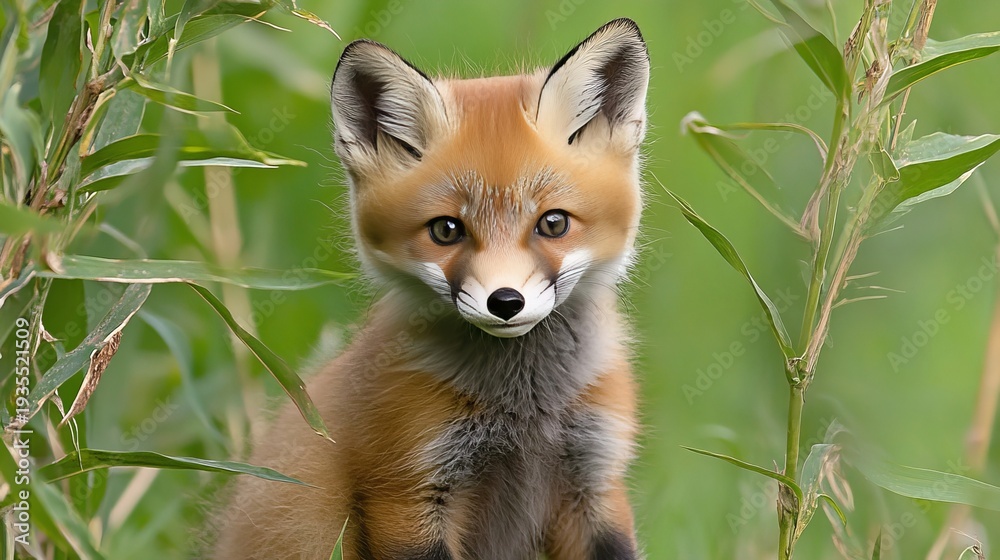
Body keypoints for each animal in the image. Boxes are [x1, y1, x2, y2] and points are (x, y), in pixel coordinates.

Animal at [212, 17, 650, 560]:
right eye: (446, 230)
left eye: (553, 223)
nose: (506, 303)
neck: (526, 410)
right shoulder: (408, 491)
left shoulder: (595, 478)